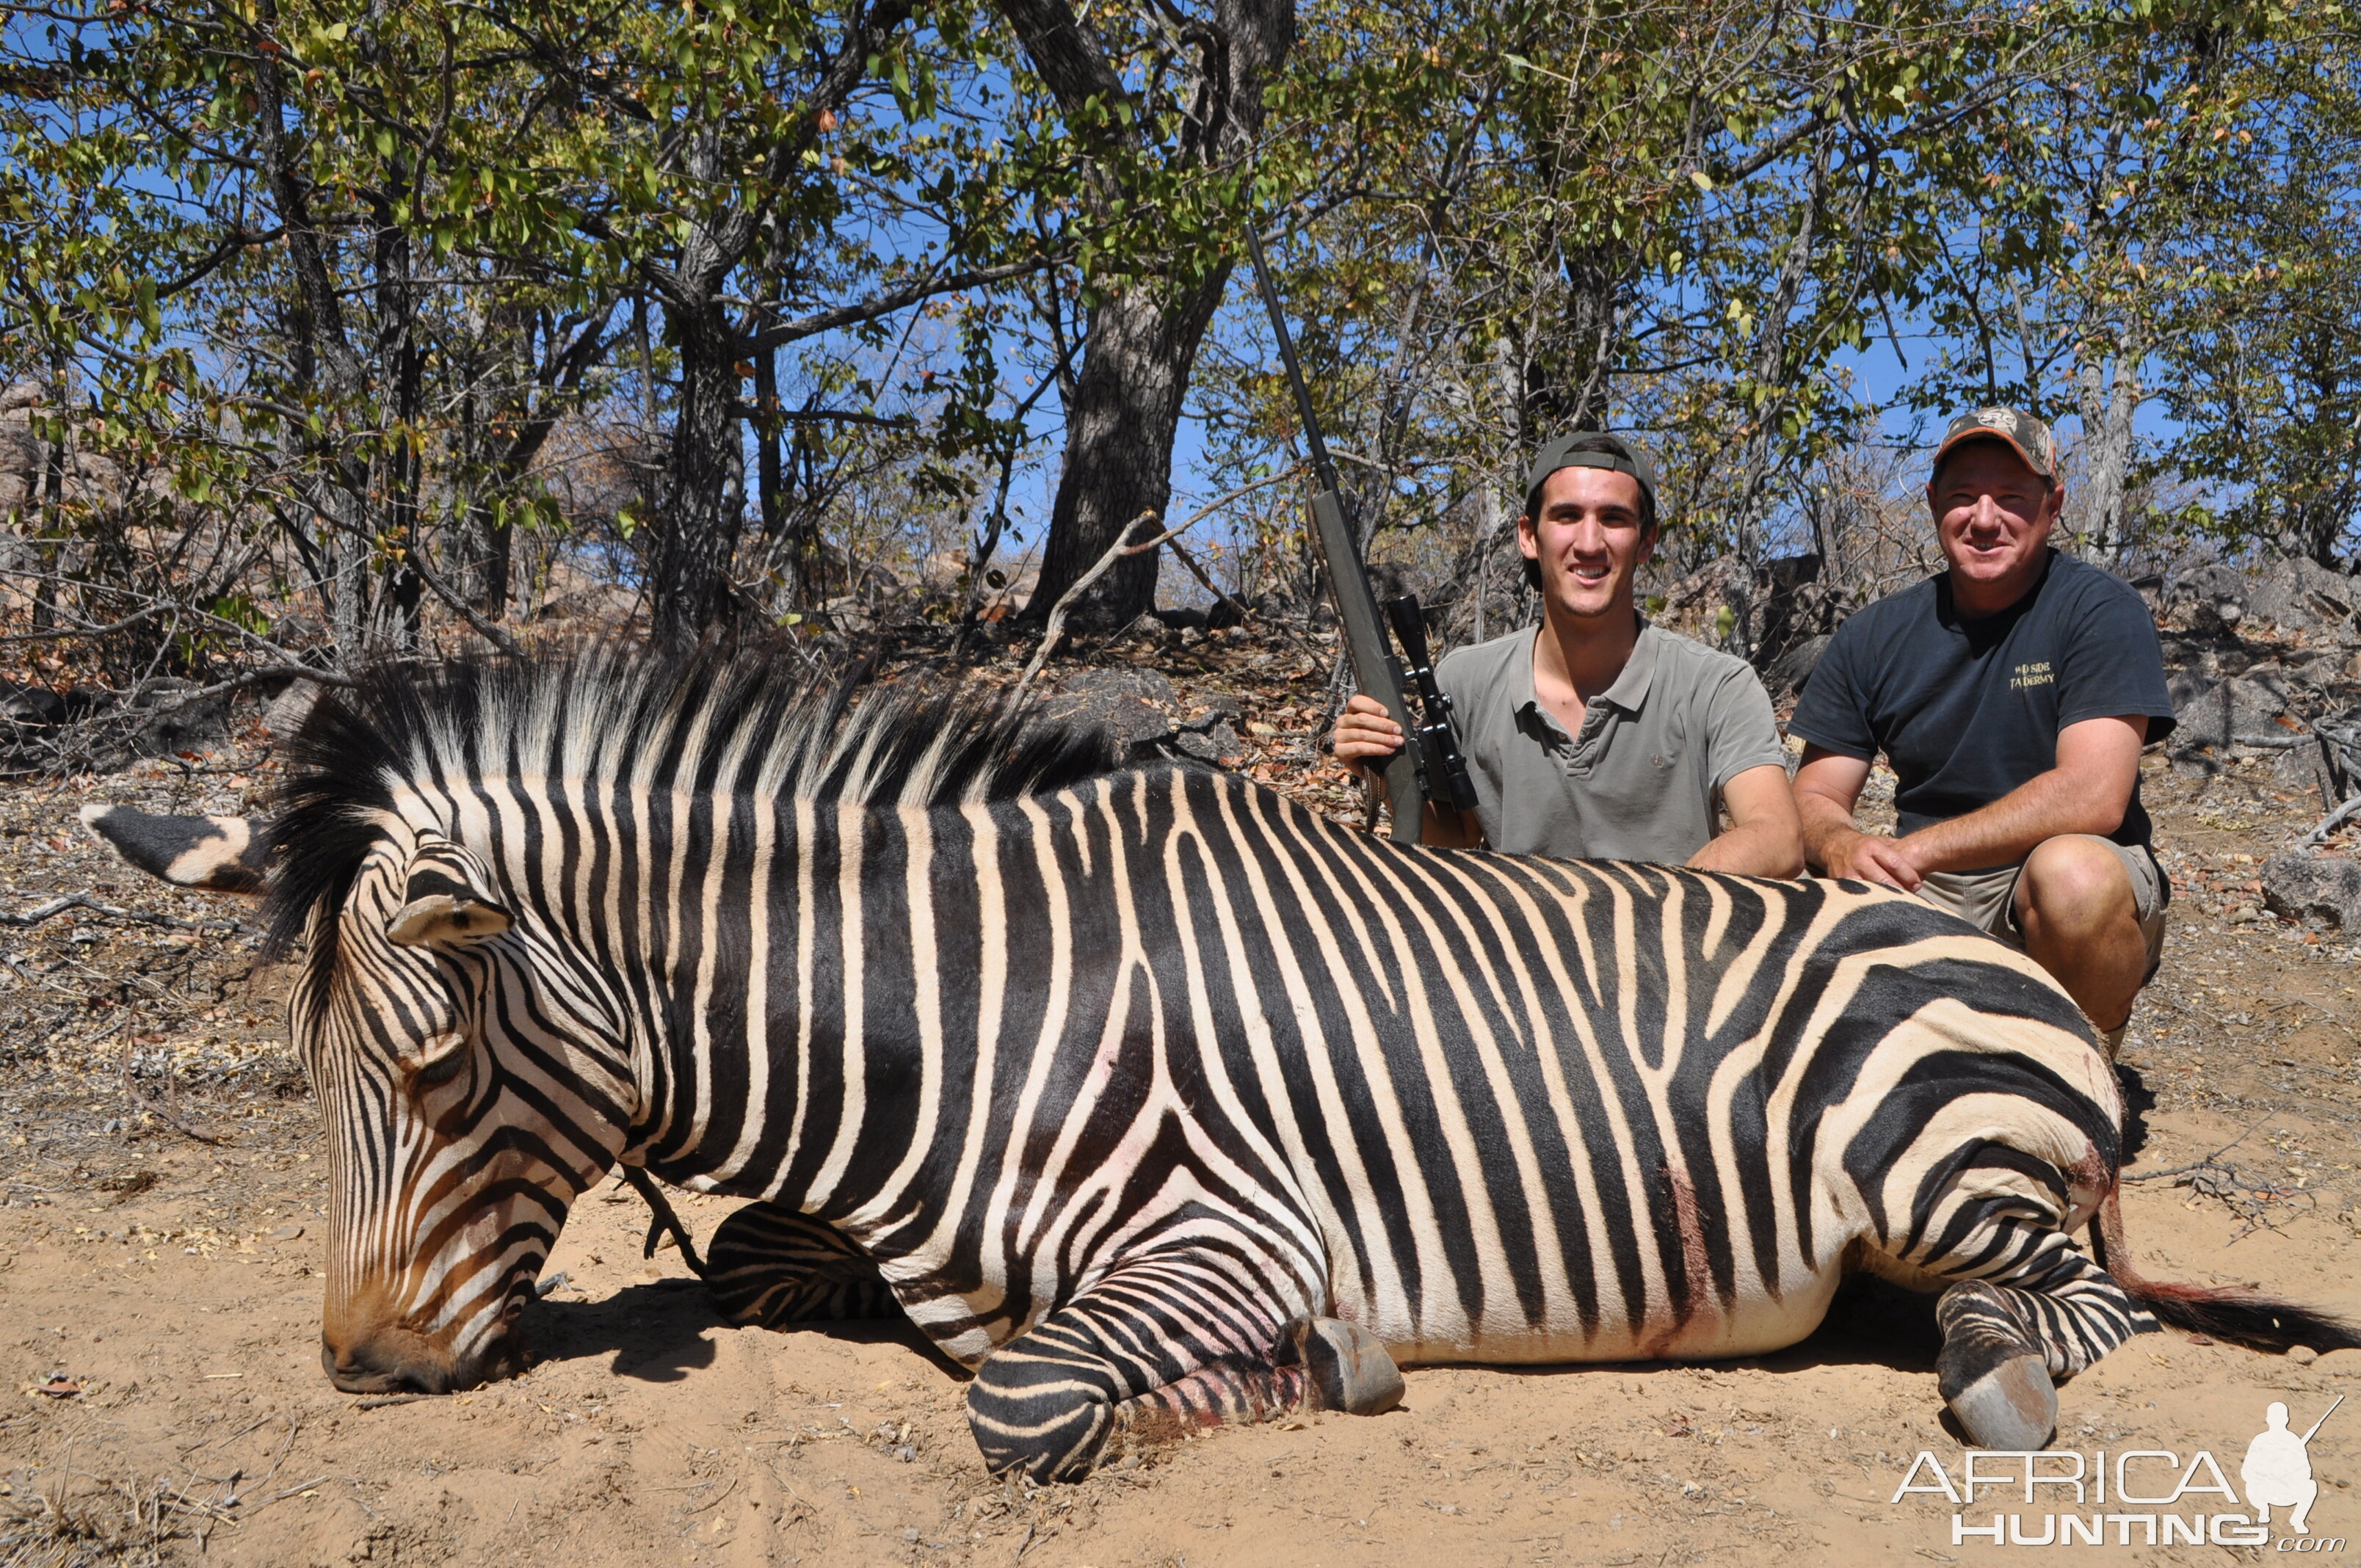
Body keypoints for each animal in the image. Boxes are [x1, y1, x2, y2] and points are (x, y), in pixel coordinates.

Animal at [83, 642, 2351, 1473]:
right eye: (314, 1084)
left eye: (429, 1080)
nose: (363, 1369)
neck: (967, 1018)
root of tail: (1968, 941)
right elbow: (751, 1254)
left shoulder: (1231, 1234)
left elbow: (1021, 1401)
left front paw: (1318, 1374)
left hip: (1951, 1155)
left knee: (2065, 1303)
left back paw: (1988, 1364)